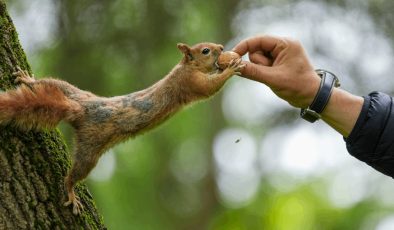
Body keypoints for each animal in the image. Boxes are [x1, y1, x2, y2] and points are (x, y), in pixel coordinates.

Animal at [0, 42, 243, 215]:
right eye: (205, 50)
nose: (222, 48)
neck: (185, 66)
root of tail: (80, 109)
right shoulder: (190, 82)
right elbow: (210, 88)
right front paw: (231, 68)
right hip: (90, 149)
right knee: (74, 175)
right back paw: (71, 192)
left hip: (71, 91)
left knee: (51, 83)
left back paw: (28, 79)